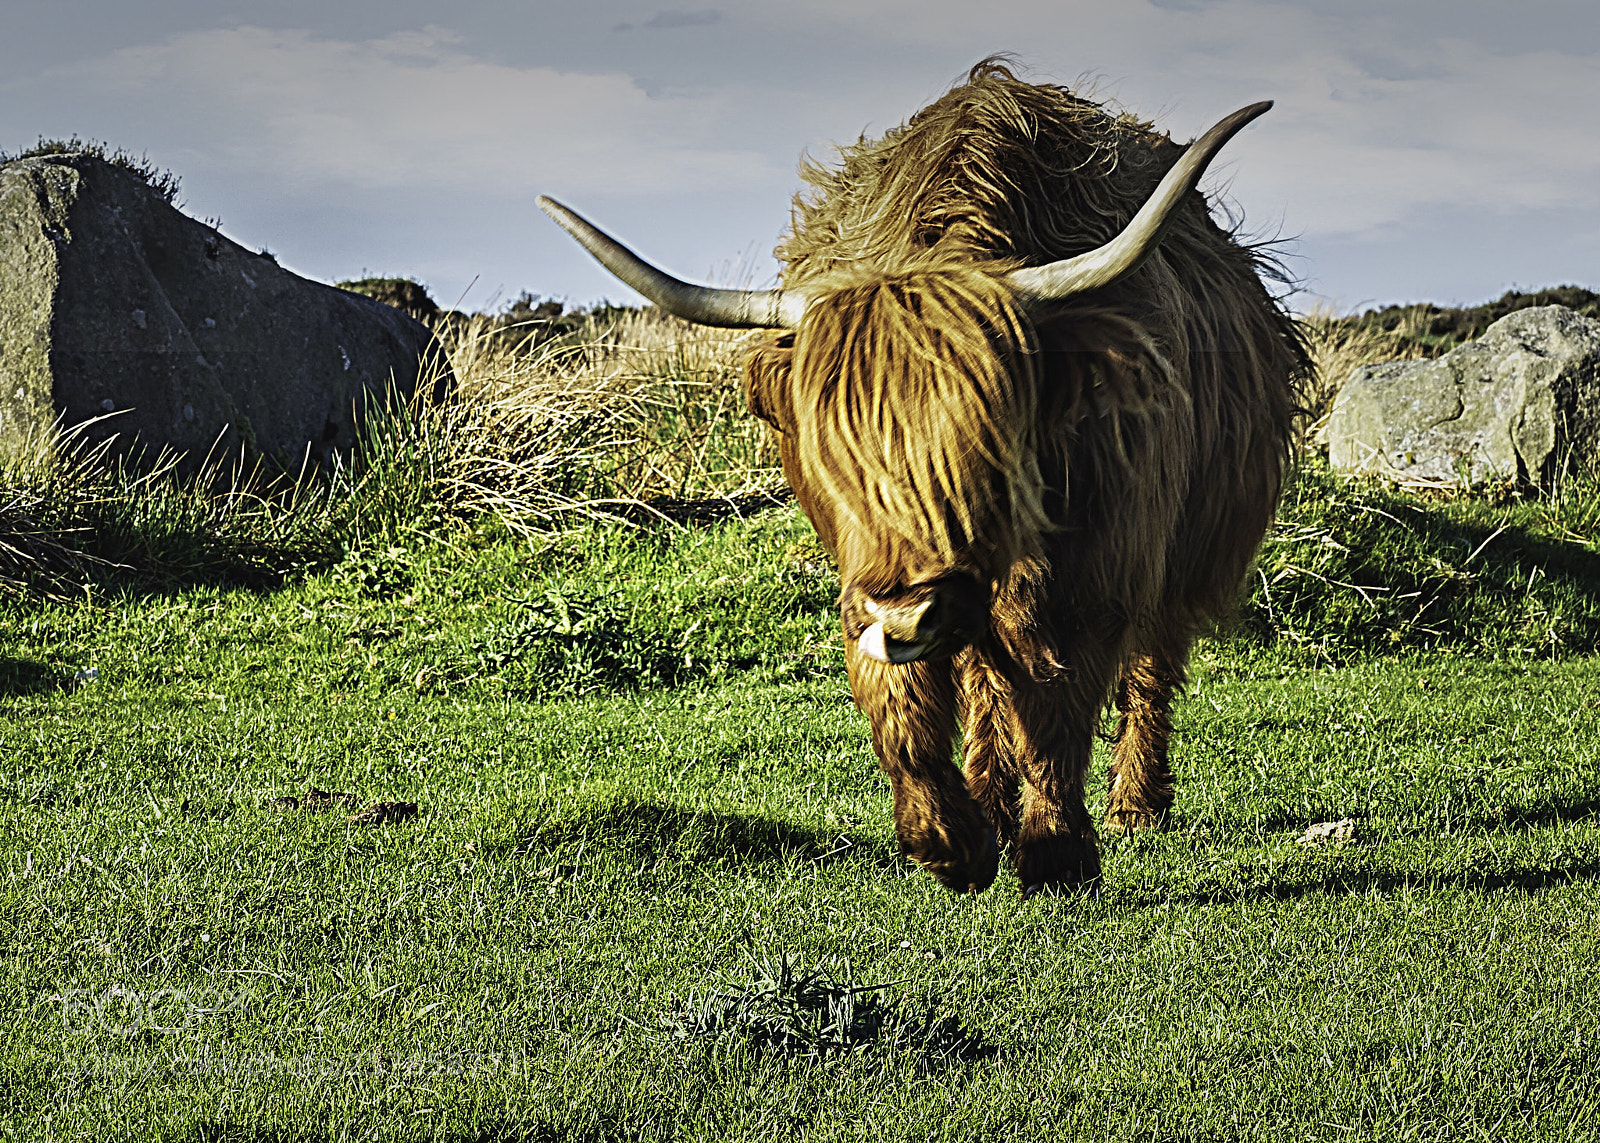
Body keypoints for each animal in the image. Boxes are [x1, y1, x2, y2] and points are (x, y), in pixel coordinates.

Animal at [538, 59, 1310, 896]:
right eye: (833, 459)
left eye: (985, 442)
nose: (907, 612)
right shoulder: (867, 581)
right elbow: (903, 701)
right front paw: (952, 840)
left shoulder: (1103, 557)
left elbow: (1058, 700)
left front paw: (1056, 852)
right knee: (984, 675)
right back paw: (993, 800)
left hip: (1190, 542)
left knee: (1149, 664)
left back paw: (1135, 803)